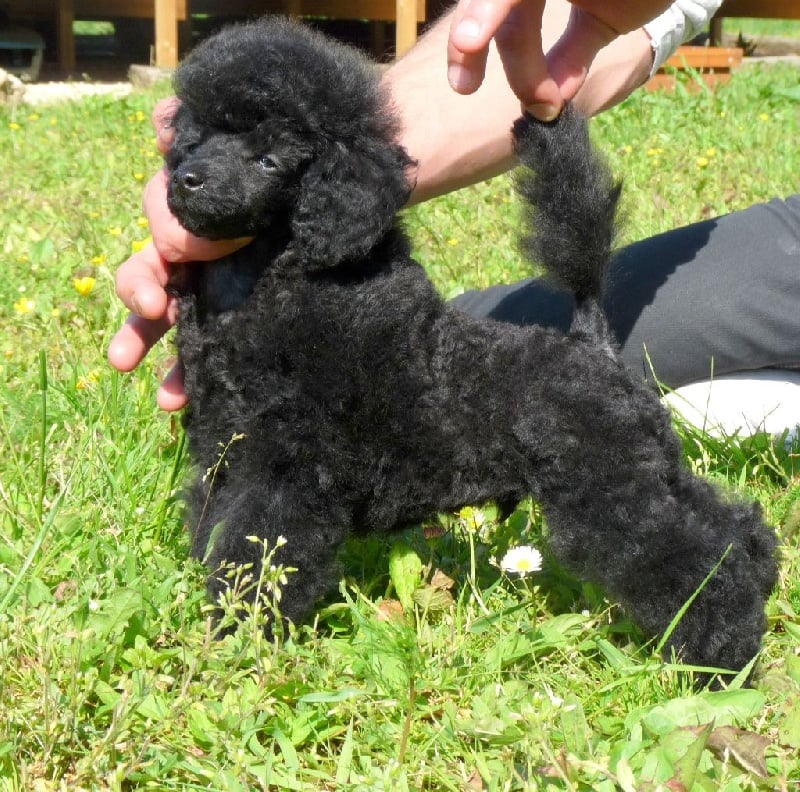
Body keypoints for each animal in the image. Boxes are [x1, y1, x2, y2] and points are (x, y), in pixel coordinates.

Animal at [165, 16, 778, 679]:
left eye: (270, 159)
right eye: (197, 139)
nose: (186, 180)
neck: (265, 284)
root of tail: (593, 342)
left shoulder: (288, 468)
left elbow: (259, 555)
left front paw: (241, 629)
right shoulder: (223, 452)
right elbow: (215, 529)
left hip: (608, 484)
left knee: (685, 557)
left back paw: (722, 651)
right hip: (645, 462)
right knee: (722, 522)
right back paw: (761, 569)